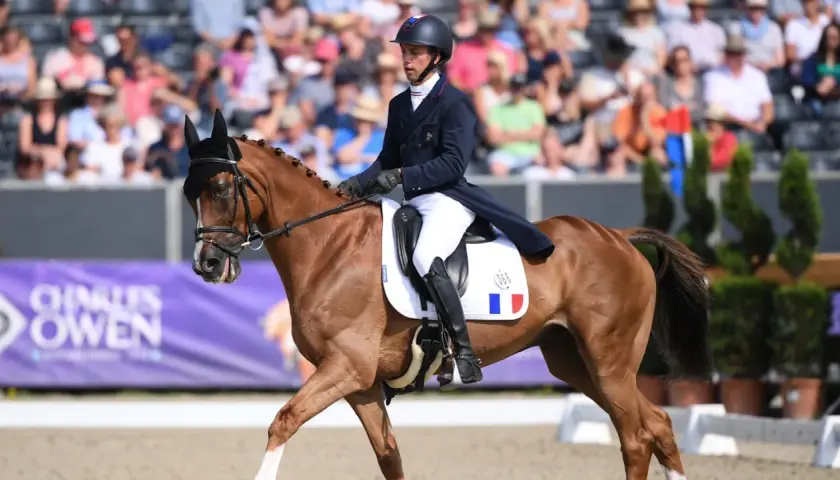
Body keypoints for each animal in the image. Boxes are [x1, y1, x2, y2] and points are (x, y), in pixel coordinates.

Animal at [182, 111, 711, 480]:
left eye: (223, 187)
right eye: (190, 193)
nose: (205, 265)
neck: (330, 246)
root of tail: (618, 237)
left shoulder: (345, 366)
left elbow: (283, 421)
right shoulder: (359, 383)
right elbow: (389, 455)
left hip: (609, 361)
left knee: (636, 436)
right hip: (574, 362)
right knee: (658, 425)